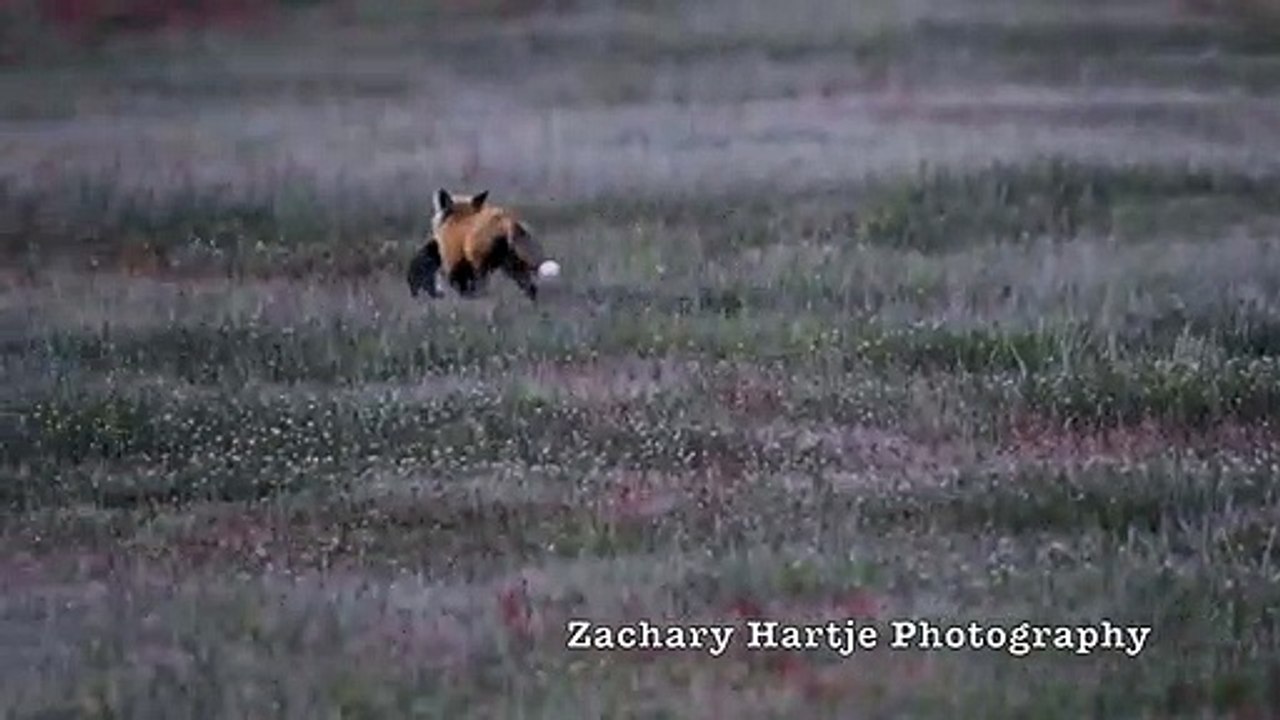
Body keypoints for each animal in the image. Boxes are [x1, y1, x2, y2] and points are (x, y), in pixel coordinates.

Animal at [406, 189, 560, 302]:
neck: (459, 218)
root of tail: (506, 221)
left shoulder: (456, 264)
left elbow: (464, 289)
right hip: (514, 265)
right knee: (531, 288)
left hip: (482, 264)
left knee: (484, 289)